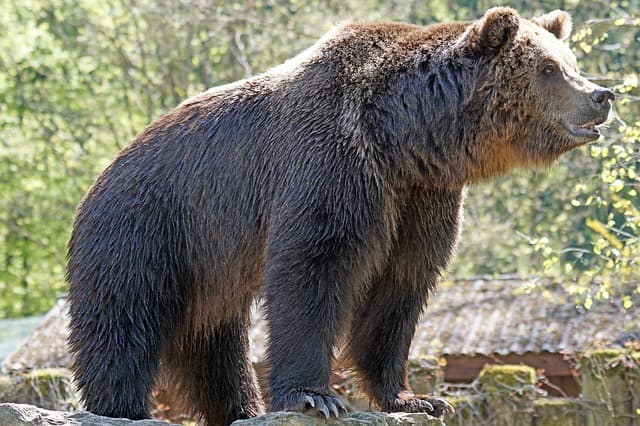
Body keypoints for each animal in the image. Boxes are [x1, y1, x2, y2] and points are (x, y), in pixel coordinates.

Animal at [65, 6, 608, 426]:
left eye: (572, 62)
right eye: (549, 69)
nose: (602, 95)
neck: (403, 138)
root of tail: (103, 174)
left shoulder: (420, 198)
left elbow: (399, 287)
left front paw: (417, 398)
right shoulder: (332, 163)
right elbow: (314, 266)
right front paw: (316, 396)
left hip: (211, 263)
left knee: (213, 342)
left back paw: (241, 406)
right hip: (147, 227)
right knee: (123, 319)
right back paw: (123, 407)